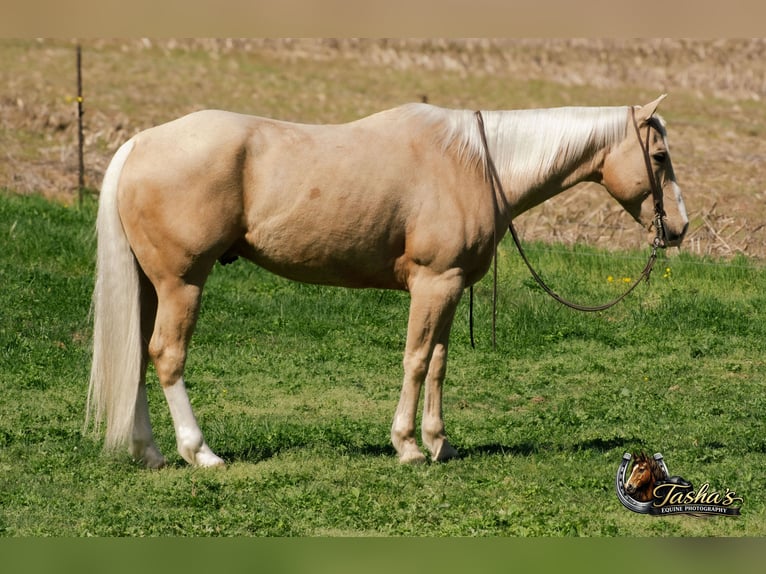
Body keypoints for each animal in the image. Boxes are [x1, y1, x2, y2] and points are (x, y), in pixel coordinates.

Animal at [86, 95, 688, 468]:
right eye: (659, 156)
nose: (680, 228)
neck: (472, 163)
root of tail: (139, 143)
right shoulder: (433, 284)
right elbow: (416, 360)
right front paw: (408, 446)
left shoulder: (450, 289)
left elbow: (440, 362)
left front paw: (439, 442)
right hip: (183, 282)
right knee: (166, 356)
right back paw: (200, 452)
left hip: (151, 285)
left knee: (137, 354)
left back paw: (150, 452)